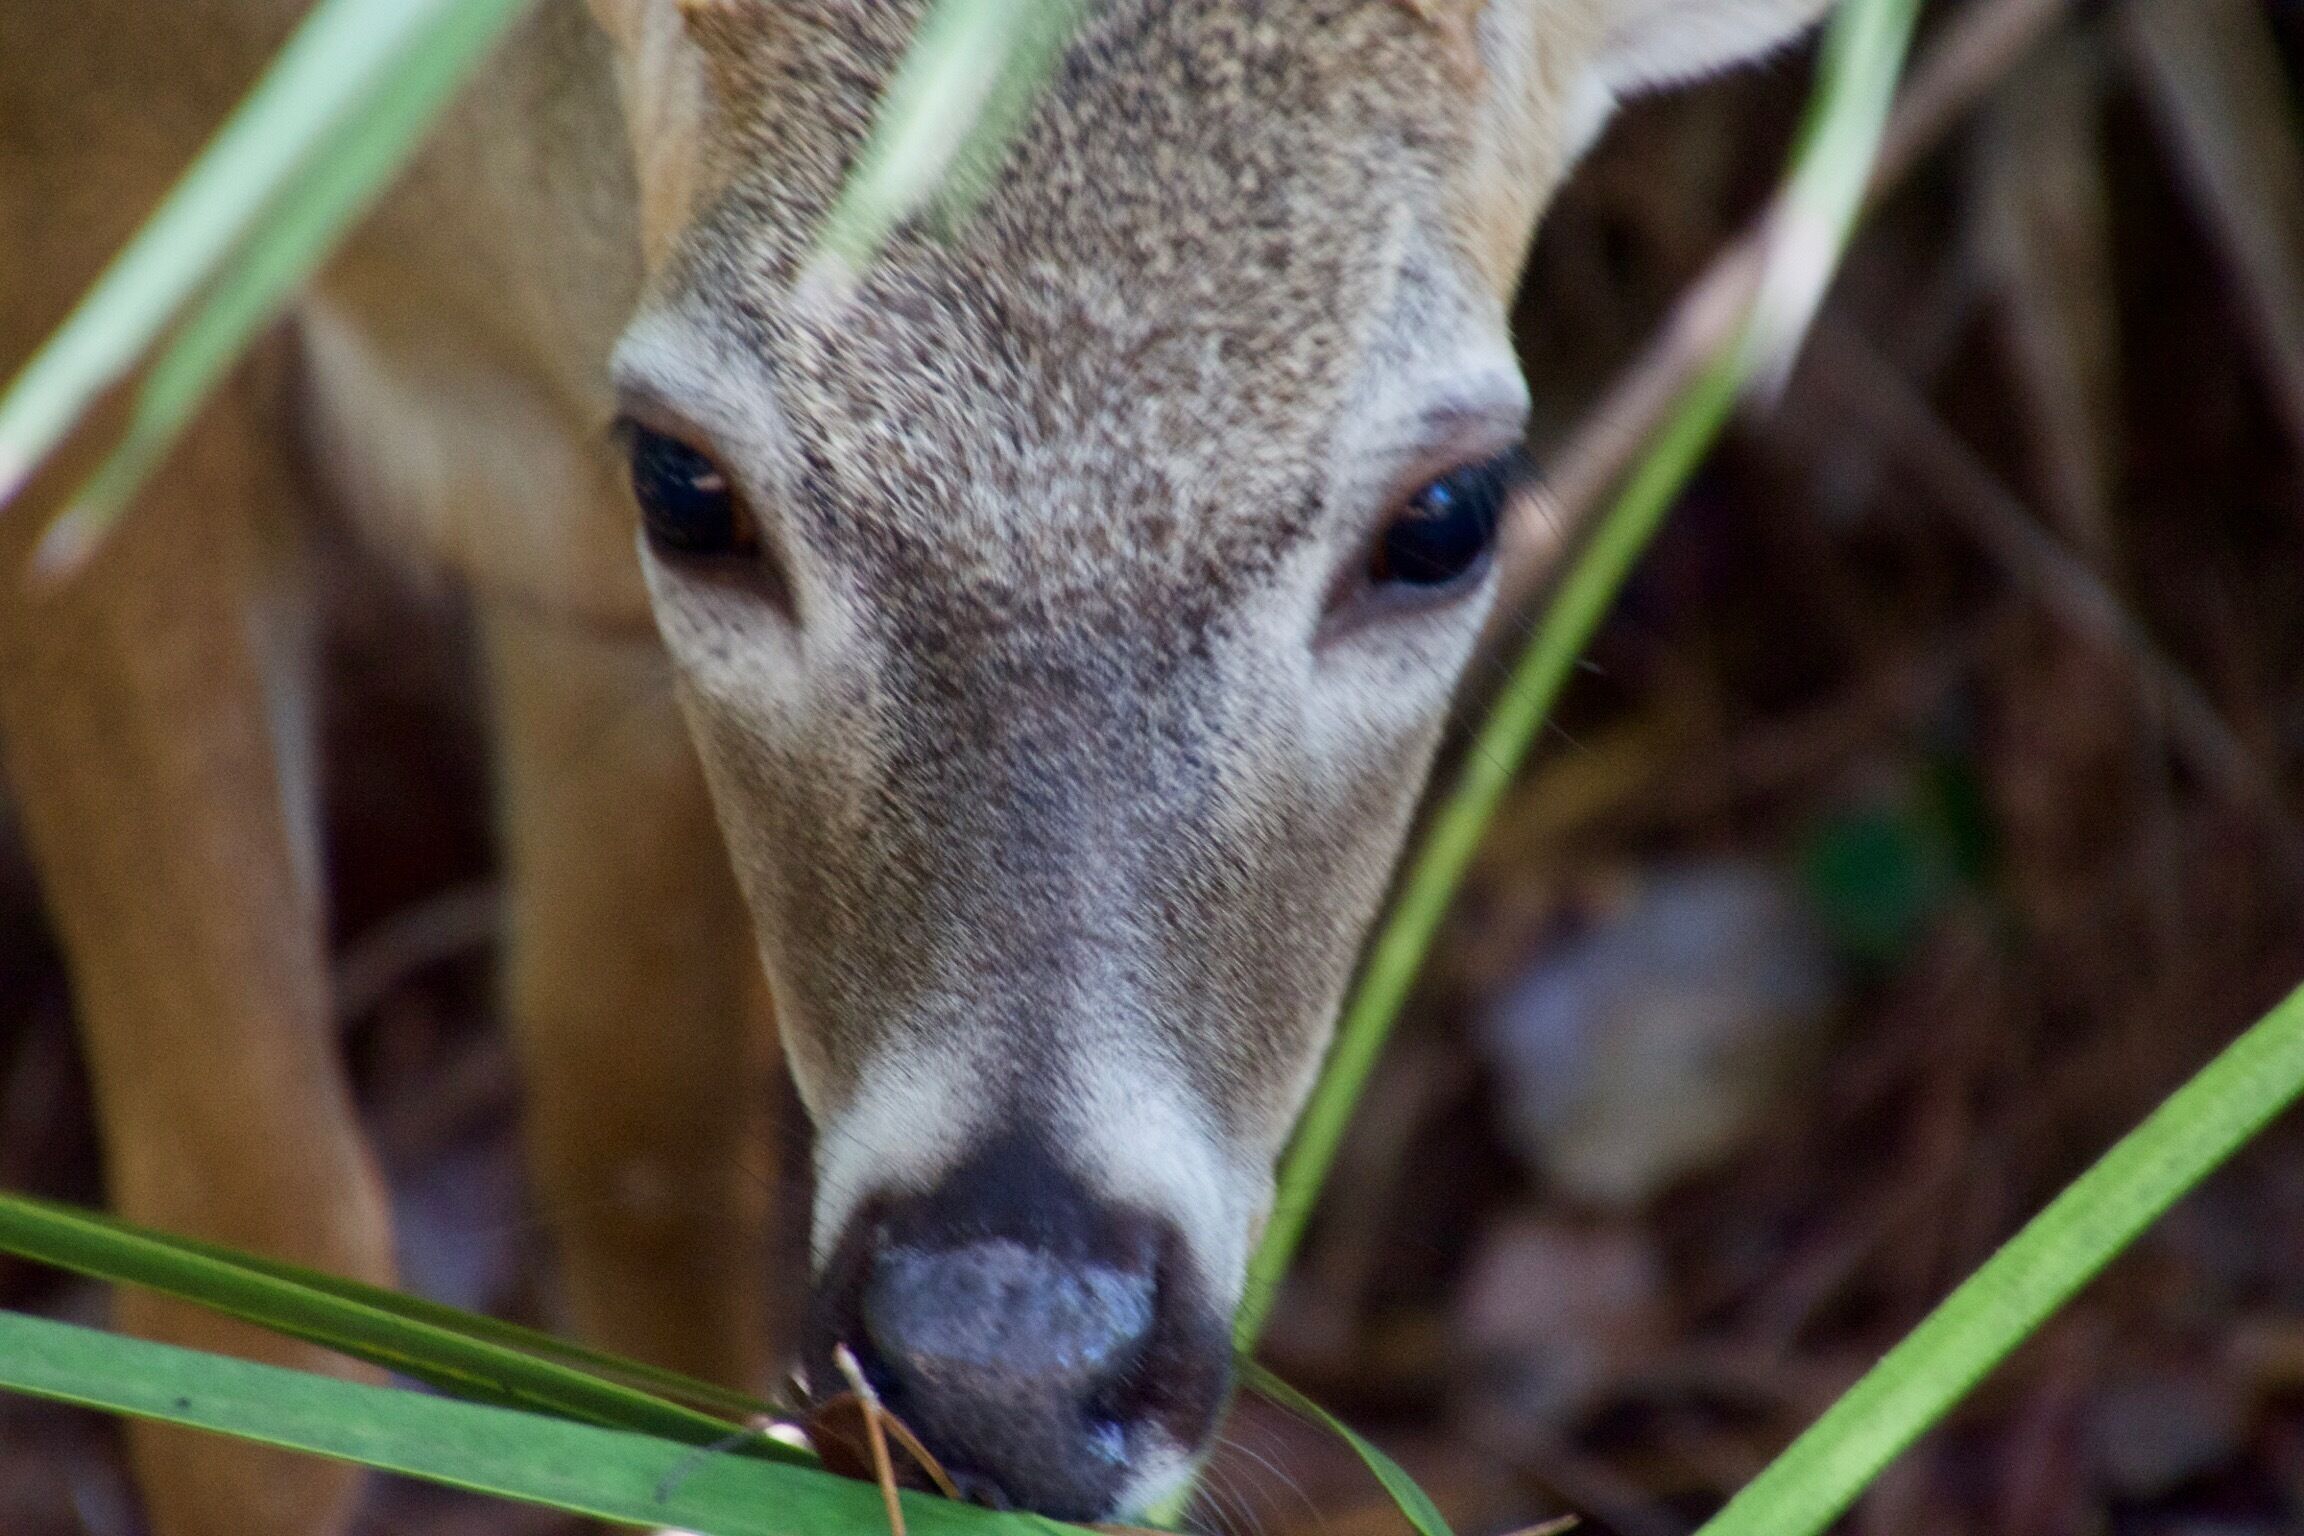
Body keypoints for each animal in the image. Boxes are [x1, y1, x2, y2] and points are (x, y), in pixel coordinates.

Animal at [0, 0, 1833, 1530]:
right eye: (688, 482)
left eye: (1445, 514)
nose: (1004, 1347)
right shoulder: (85, 236)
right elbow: (252, 1249)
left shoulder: (579, 597)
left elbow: (637, 1146)